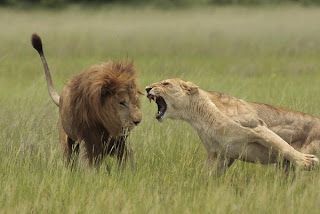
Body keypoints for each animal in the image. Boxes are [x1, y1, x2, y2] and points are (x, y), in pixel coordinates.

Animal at [31, 33, 141, 167]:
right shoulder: (89, 140)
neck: (105, 120)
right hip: (68, 143)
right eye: (121, 102)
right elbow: (91, 163)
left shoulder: (119, 142)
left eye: (136, 100)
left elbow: (124, 160)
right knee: (70, 161)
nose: (138, 121)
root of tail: (61, 99)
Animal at [146, 78, 320, 174]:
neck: (196, 117)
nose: (147, 88)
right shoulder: (220, 154)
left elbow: (282, 145)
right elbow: (206, 175)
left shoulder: (257, 127)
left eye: (166, 83)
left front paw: (307, 161)